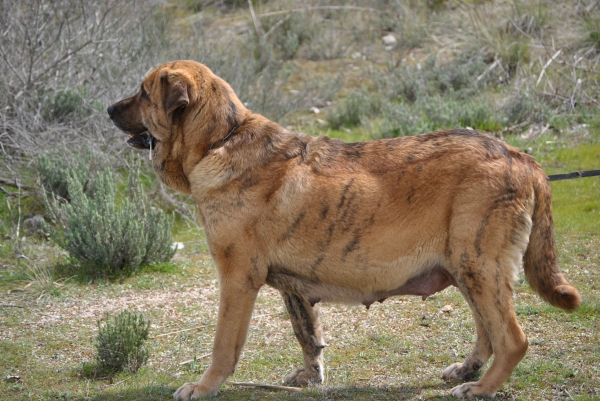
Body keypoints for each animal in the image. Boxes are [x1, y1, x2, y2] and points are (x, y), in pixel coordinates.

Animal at [108, 60, 580, 400]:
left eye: (144, 93)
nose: (108, 109)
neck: (220, 139)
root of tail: (520, 156)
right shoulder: (291, 287)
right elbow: (307, 334)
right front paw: (311, 375)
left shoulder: (238, 279)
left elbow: (224, 344)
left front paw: (204, 388)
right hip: (467, 268)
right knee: (488, 331)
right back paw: (467, 370)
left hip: (478, 264)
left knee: (512, 339)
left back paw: (480, 388)